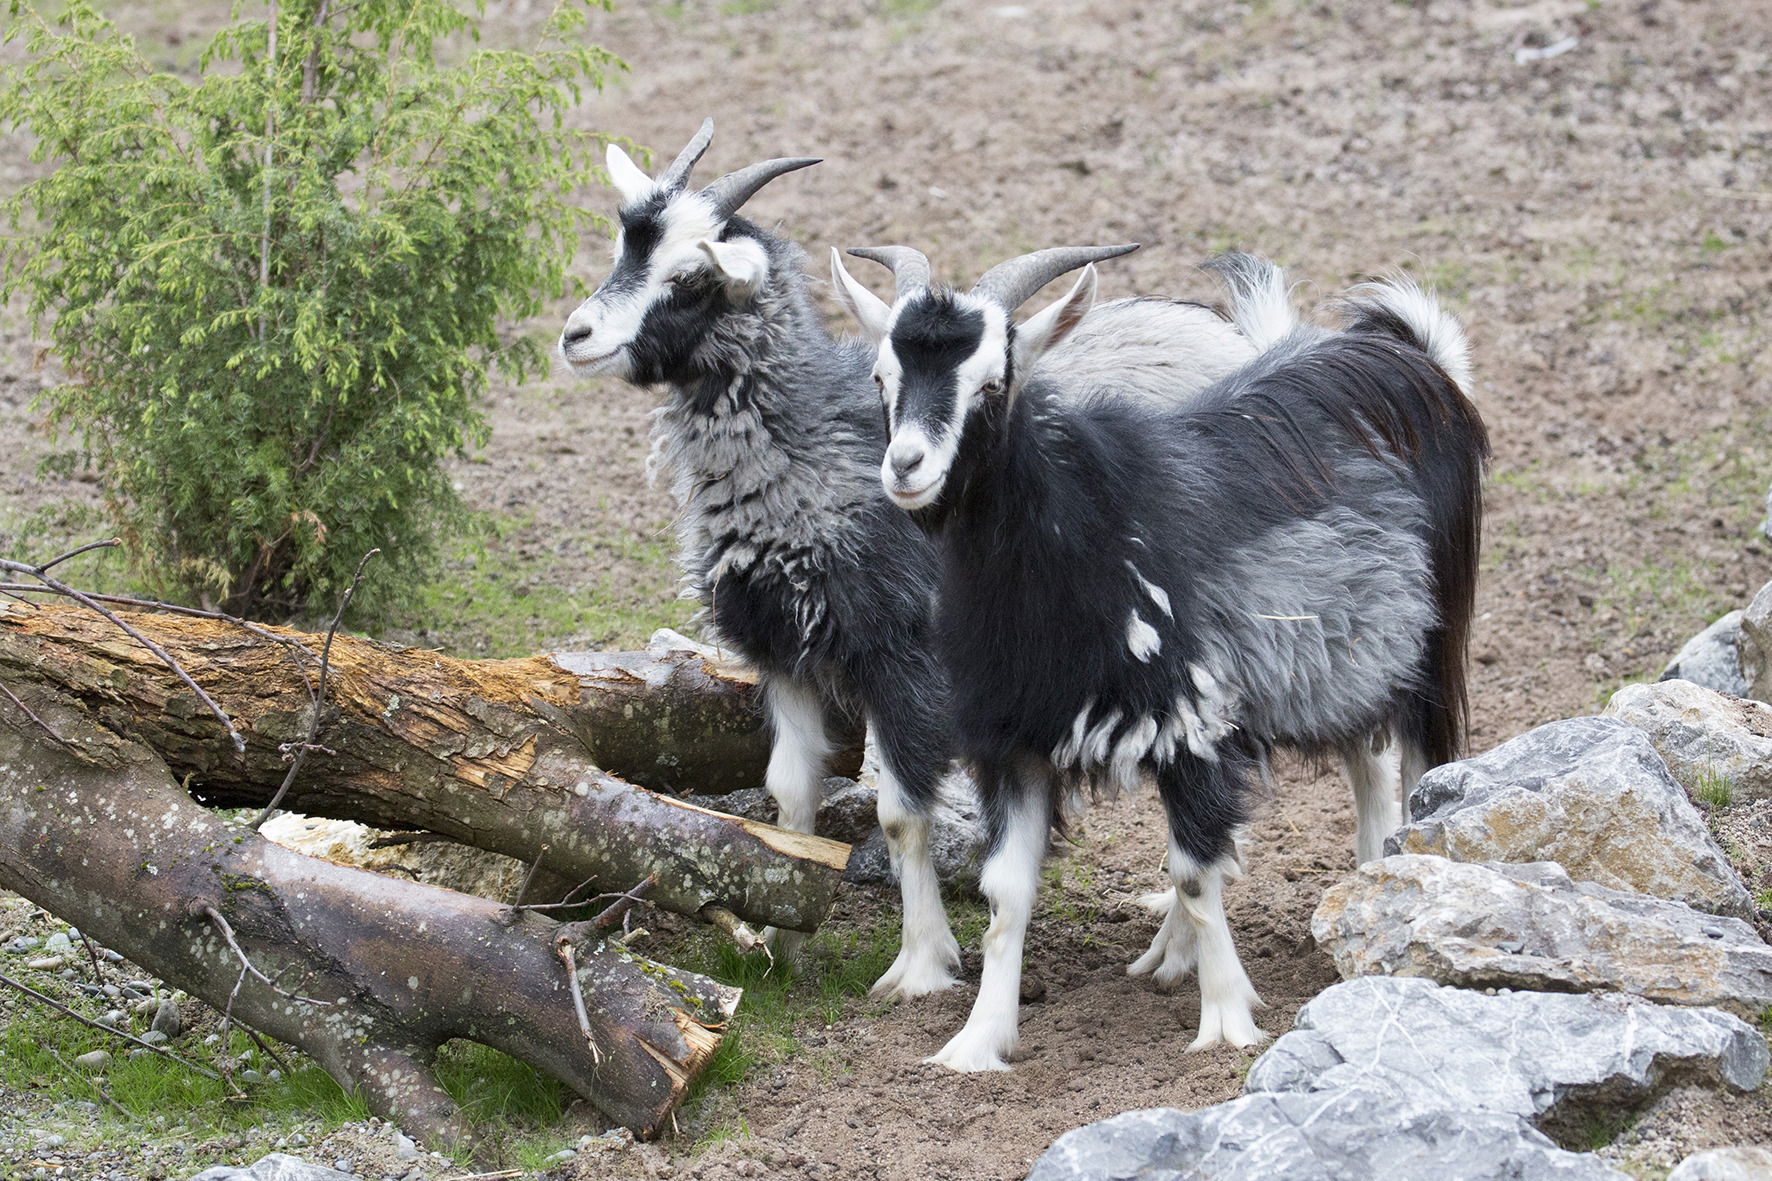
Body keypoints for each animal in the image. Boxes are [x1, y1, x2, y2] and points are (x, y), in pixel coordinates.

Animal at [557, 119, 1261, 998]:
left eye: (689, 274)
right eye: (624, 246)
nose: (575, 336)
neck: (811, 457)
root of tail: (1240, 340)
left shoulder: (906, 661)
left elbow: (899, 811)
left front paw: (922, 961)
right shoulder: (783, 653)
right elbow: (789, 796)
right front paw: (780, 942)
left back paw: (1176, 952)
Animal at [830, 244, 1488, 1071]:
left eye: (993, 382)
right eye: (882, 377)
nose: (907, 466)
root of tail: (1412, 355)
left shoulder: (1191, 719)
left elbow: (1197, 873)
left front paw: (1227, 1021)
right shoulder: (1014, 740)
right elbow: (1006, 892)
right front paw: (976, 1041)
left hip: (1430, 648)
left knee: (1415, 765)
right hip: (1338, 660)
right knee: (1363, 763)